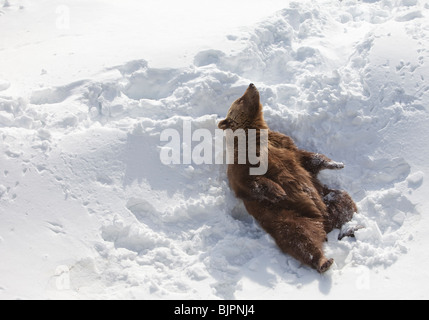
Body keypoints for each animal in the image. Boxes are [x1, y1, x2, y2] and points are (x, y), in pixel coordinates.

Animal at [219, 83, 356, 272]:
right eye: (240, 99)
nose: (251, 85)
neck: (254, 135)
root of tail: (326, 223)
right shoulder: (242, 162)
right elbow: (247, 181)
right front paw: (278, 191)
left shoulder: (283, 142)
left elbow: (306, 158)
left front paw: (335, 163)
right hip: (287, 215)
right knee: (299, 237)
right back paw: (323, 261)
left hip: (325, 197)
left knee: (342, 200)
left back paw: (350, 227)